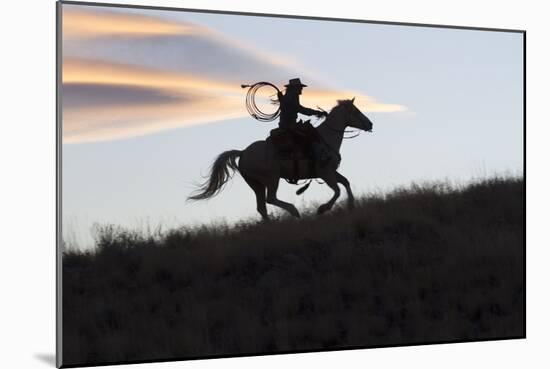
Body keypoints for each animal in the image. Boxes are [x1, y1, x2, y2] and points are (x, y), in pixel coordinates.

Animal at [189, 98, 376, 218]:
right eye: (356, 111)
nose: (370, 124)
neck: (326, 138)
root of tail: (243, 152)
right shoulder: (325, 173)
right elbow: (337, 190)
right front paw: (323, 209)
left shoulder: (331, 172)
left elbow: (345, 182)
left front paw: (351, 206)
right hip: (272, 179)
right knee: (270, 199)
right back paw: (294, 211)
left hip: (256, 184)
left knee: (262, 207)